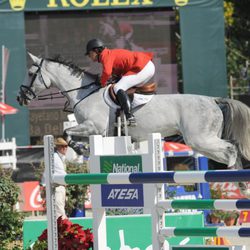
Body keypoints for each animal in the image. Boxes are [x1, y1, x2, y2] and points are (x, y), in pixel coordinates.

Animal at [17, 54, 250, 174]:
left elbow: (66, 133)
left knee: (231, 149)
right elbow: (67, 133)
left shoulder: (94, 127)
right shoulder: (98, 131)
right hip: (201, 142)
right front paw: (82, 148)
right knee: (228, 151)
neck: (84, 92)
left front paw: (81, 149)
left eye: (30, 73)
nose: (21, 97)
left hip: (200, 139)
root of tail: (213, 100)